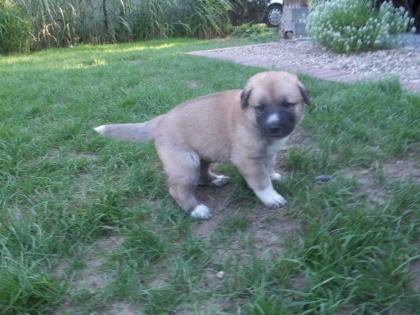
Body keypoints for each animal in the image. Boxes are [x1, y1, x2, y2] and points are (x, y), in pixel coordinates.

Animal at [95, 71, 308, 220]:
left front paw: (274, 176)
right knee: (177, 189)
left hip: (202, 155)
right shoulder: (248, 159)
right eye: (260, 108)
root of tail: (160, 120)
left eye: (287, 105)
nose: (274, 127)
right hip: (185, 163)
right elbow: (261, 181)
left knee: (202, 174)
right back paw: (196, 210)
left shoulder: (269, 153)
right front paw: (271, 197)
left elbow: (269, 167)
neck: (250, 119)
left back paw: (215, 180)